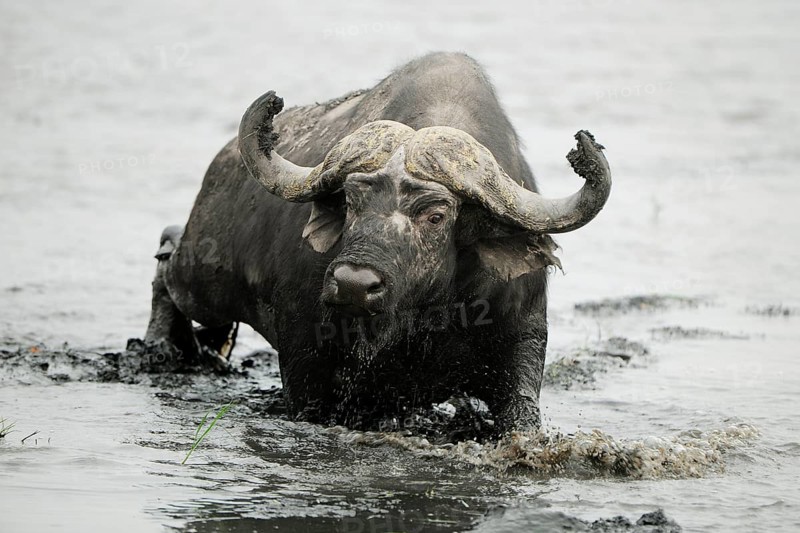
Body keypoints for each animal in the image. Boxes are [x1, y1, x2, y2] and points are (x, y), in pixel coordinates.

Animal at [143, 52, 611, 432]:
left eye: (435, 216)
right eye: (351, 201)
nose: (352, 284)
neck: (418, 315)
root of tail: (222, 163)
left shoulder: (521, 342)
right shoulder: (305, 363)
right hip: (206, 275)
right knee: (168, 254)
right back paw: (160, 346)